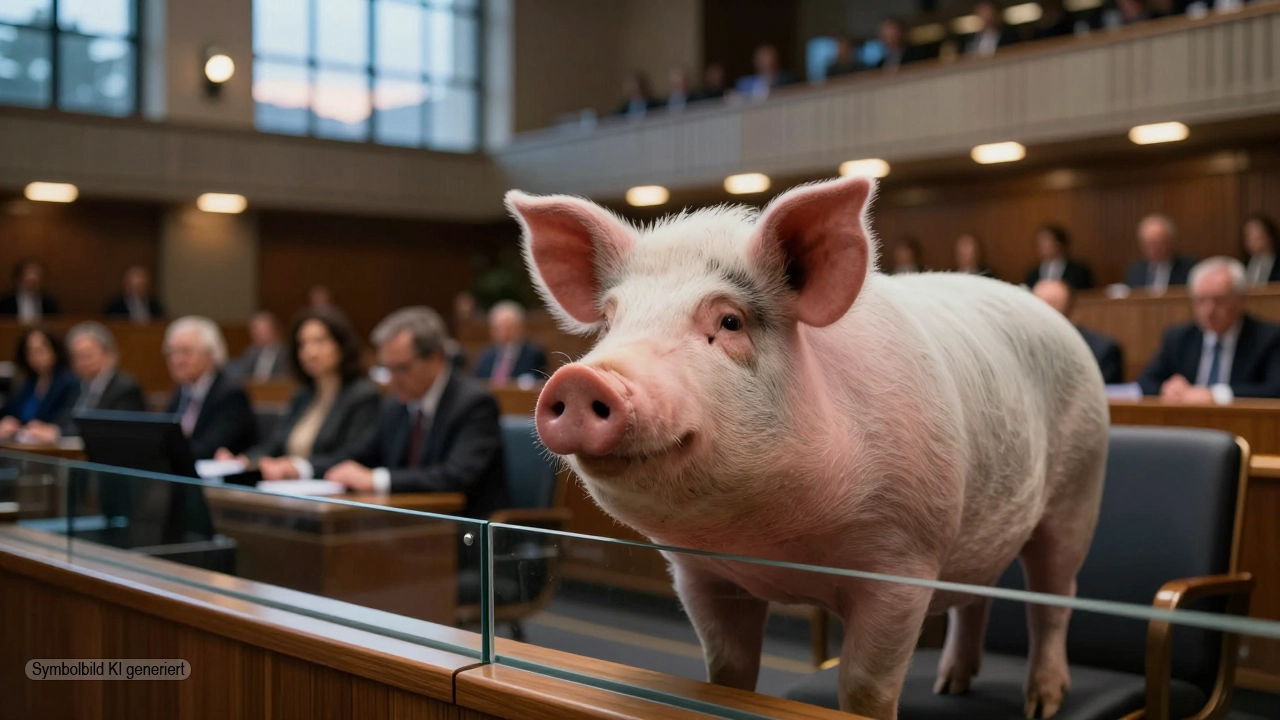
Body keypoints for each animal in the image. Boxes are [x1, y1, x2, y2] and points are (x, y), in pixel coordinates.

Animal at [505, 176, 1108, 720]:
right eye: (610, 321)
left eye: (729, 321)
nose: (582, 379)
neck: (780, 545)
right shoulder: (700, 575)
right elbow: (726, 670)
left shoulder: (905, 561)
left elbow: (866, 689)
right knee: (976, 597)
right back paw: (950, 686)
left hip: (1079, 487)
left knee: (1055, 598)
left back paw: (1042, 703)